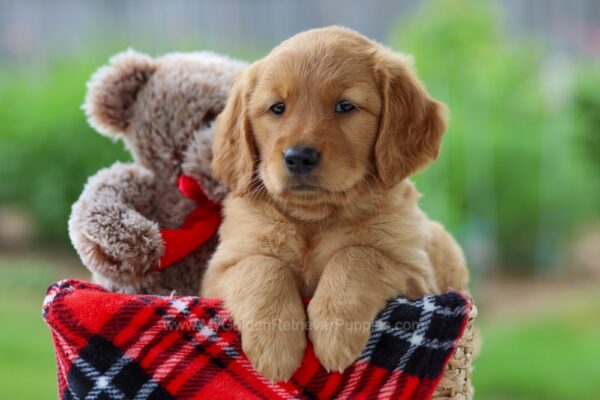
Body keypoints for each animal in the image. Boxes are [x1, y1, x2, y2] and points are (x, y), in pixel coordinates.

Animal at [202, 25, 468, 382]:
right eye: (277, 108)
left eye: (345, 106)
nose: (299, 157)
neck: (314, 218)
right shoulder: (219, 272)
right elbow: (261, 266)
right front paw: (276, 345)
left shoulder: (417, 276)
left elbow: (357, 255)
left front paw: (334, 332)